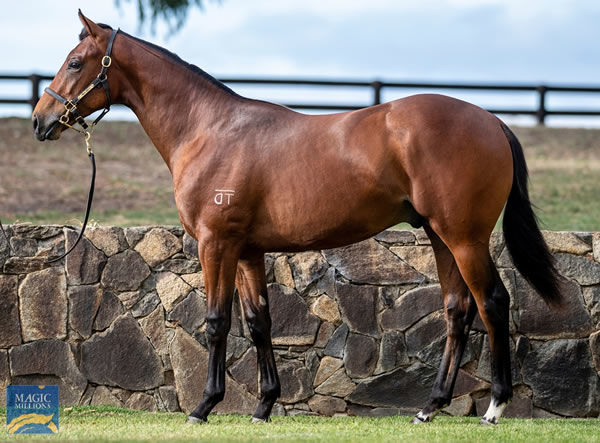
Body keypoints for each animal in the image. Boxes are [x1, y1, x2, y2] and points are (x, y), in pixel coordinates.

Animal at [32, 11, 560, 426]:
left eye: (75, 62)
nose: (40, 120)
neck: (208, 130)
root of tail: (491, 120)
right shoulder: (246, 251)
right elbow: (258, 322)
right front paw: (263, 406)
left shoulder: (214, 244)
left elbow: (216, 321)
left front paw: (204, 406)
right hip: (439, 235)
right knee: (457, 308)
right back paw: (430, 406)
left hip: (464, 237)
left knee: (492, 302)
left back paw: (494, 407)